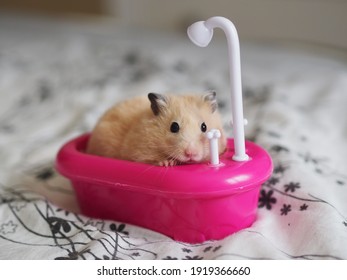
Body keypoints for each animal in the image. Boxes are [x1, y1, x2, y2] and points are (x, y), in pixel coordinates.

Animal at [86, 92, 228, 166]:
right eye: (174, 127)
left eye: (204, 127)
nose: (190, 154)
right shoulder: (140, 151)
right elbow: (151, 159)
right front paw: (167, 163)